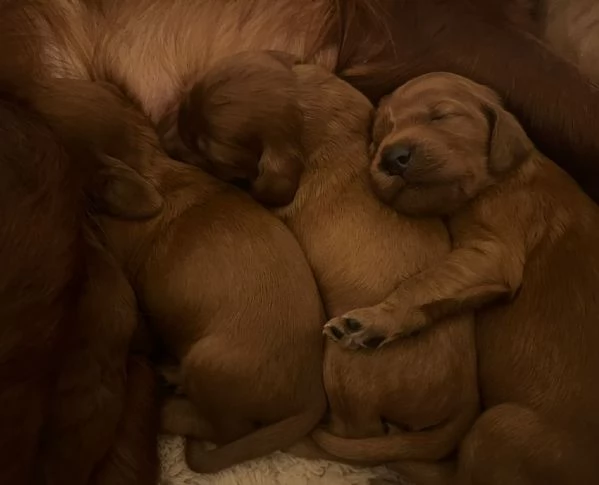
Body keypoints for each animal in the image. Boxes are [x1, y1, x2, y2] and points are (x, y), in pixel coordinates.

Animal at [173, 53, 478, 466]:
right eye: (186, 100)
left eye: (209, 151)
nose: (164, 134)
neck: (307, 109)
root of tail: (466, 400)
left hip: (341, 365)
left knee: (356, 434)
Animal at [330, 73, 599, 484]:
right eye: (380, 133)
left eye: (441, 116)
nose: (392, 157)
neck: (502, 177)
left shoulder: (493, 251)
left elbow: (421, 283)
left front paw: (372, 319)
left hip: (499, 426)